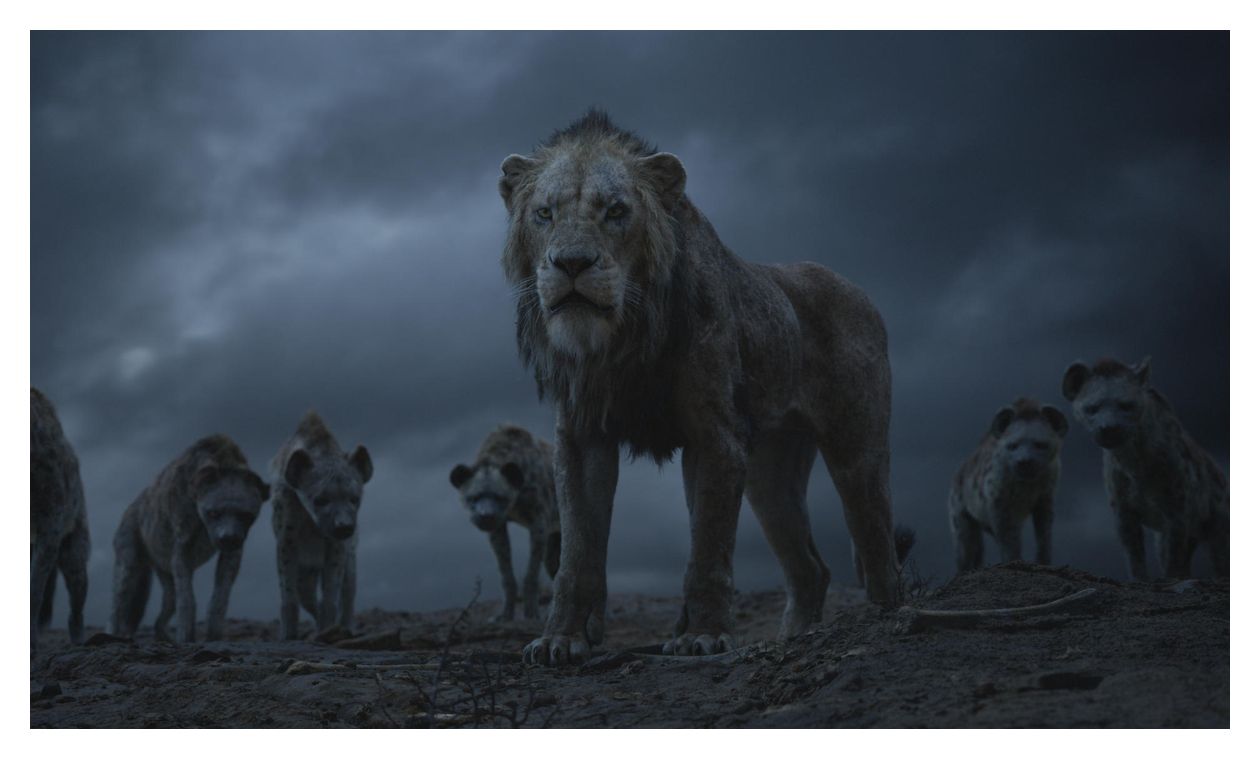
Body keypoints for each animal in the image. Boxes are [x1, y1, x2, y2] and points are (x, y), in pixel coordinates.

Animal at [498, 111, 910, 665]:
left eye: (616, 211)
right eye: (544, 213)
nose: (572, 264)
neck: (622, 340)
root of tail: (858, 290)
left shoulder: (715, 435)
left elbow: (708, 546)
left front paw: (704, 636)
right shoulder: (582, 439)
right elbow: (577, 552)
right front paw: (561, 639)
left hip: (856, 450)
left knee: (876, 541)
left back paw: (888, 618)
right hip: (769, 475)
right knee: (810, 569)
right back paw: (793, 637)